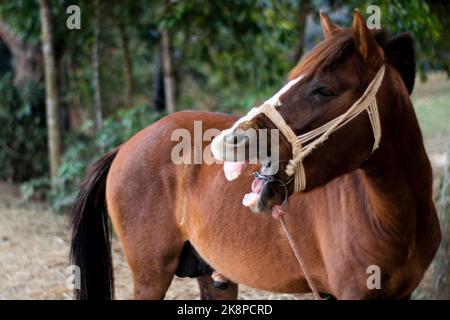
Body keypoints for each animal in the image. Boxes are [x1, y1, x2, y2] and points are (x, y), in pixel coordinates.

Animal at [72, 10, 442, 300]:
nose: (234, 140)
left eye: (323, 90)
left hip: (213, 277)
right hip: (151, 276)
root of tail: (125, 146)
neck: (395, 217)